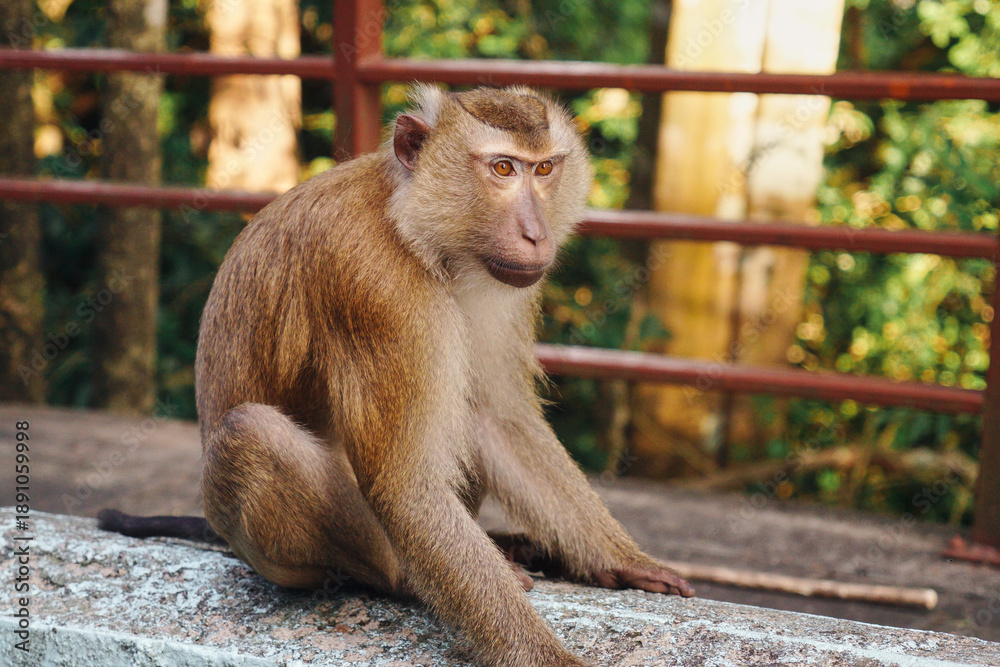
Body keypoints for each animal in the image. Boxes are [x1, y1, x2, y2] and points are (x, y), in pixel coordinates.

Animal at [99, 85, 694, 667]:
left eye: (544, 169)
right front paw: (548, 657)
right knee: (251, 432)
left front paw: (623, 559)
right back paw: (403, 576)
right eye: (503, 169)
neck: (416, 230)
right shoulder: (376, 286)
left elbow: (494, 419)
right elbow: (405, 486)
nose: (534, 234)